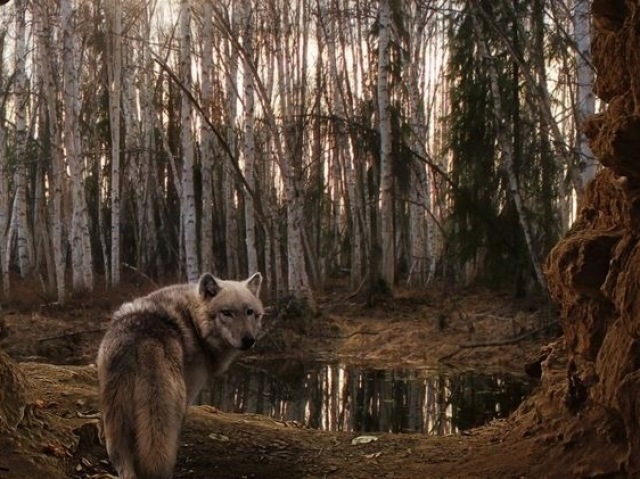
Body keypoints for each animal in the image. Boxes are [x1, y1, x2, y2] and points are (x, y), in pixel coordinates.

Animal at [97, 272, 262, 478]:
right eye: (227, 313)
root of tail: (144, 339)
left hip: (115, 420)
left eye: (249, 312)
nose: (249, 340)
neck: (194, 322)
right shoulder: (189, 395)